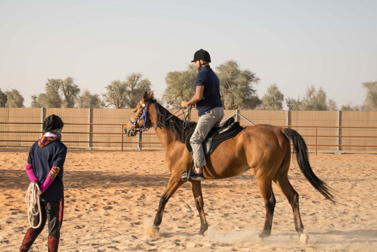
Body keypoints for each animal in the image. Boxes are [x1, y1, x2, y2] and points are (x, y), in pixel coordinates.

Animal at [125, 92, 334, 238]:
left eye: (136, 109)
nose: (127, 129)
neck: (178, 138)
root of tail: (280, 131)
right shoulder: (194, 180)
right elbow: (199, 203)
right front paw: (202, 229)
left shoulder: (177, 177)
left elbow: (163, 198)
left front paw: (155, 225)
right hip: (279, 175)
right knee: (293, 197)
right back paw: (300, 230)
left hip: (263, 176)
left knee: (270, 202)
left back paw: (265, 233)